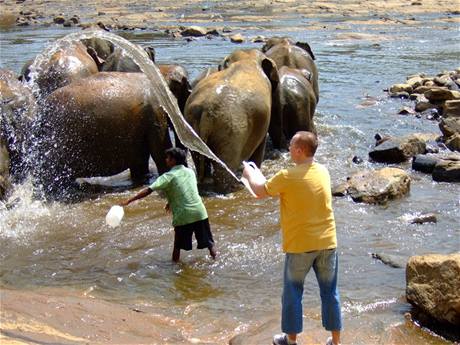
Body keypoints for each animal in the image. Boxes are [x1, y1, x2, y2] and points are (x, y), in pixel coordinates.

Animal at [184, 48, 278, 194]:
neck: (247, 58)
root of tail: (207, 109)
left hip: (191, 125)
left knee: (199, 159)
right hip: (231, 131)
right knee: (225, 168)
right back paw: (233, 188)